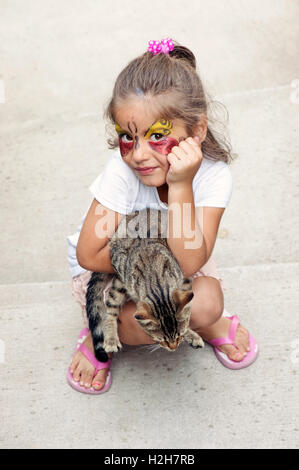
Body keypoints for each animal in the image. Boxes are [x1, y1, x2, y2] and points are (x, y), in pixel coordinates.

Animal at [85, 207, 205, 362]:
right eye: (162, 340)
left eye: (179, 335)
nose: (173, 348)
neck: (157, 285)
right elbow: (111, 308)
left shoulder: (184, 277)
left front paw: (191, 334)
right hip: (120, 279)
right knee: (110, 308)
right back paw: (111, 339)